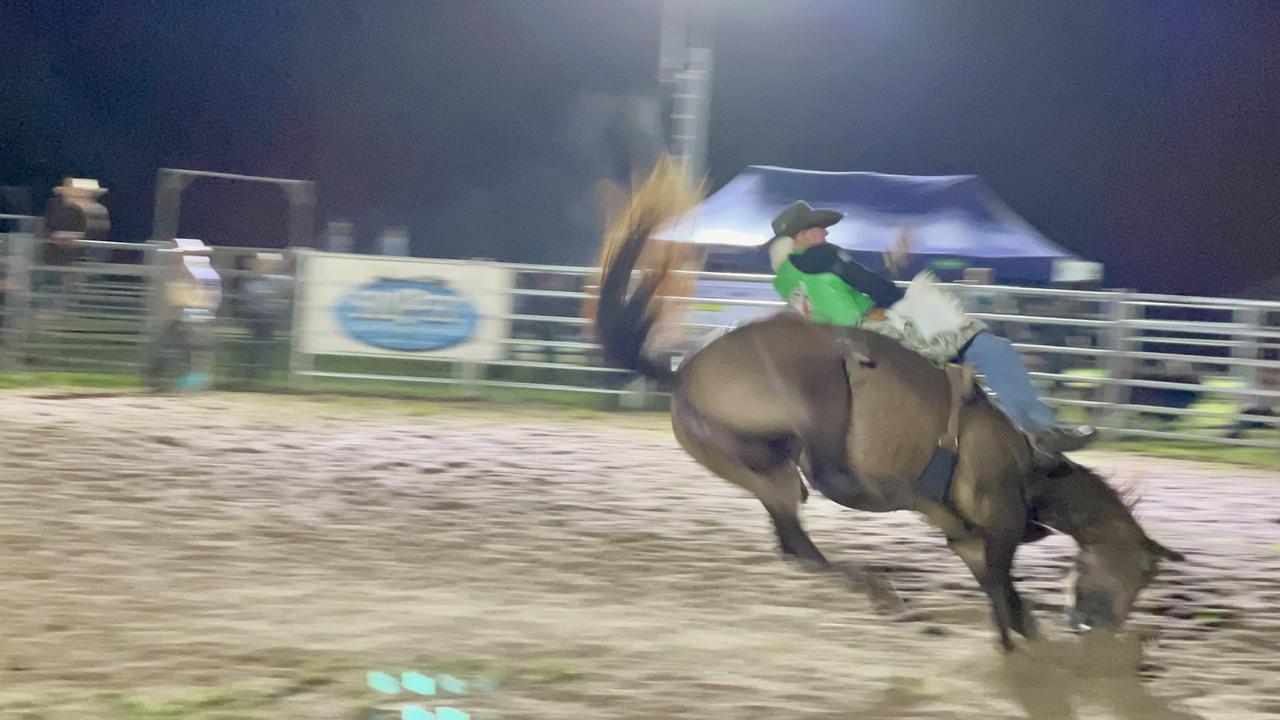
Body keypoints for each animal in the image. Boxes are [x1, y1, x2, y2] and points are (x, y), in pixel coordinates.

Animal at [593, 158, 1182, 650]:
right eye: (1144, 573)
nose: (1097, 627)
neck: (1031, 470)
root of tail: (681, 369)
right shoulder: (998, 520)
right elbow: (1001, 593)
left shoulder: (979, 533)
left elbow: (1003, 593)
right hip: (817, 395)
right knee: (829, 488)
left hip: (758, 467)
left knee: (796, 543)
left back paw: (882, 589)